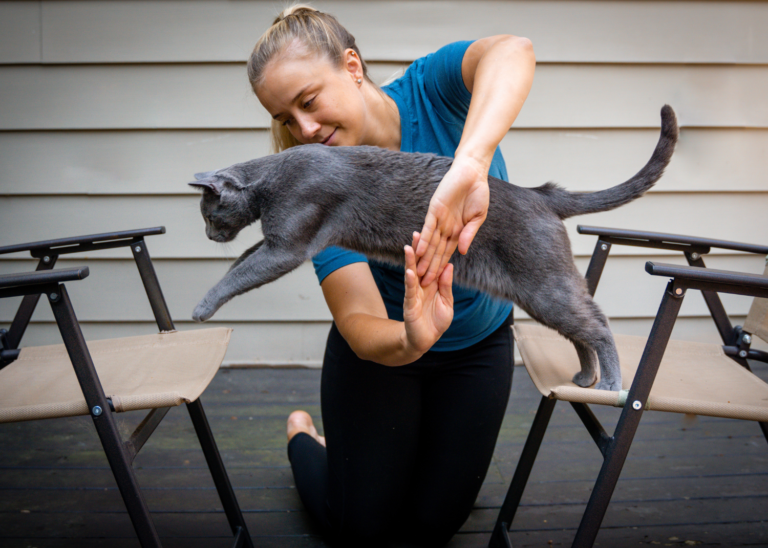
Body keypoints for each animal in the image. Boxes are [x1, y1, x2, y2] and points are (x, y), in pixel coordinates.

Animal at [190, 105, 680, 392]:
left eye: (209, 216)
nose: (210, 236)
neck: (270, 182)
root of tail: (540, 194)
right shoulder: (273, 242)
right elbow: (240, 263)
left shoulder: (287, 245)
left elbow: (239, 272)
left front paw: (200, 307)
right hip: (540, 294)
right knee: (582, 328)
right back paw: (584, 376)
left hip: (545, 286)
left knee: (597, 323)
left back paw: (611, 382)